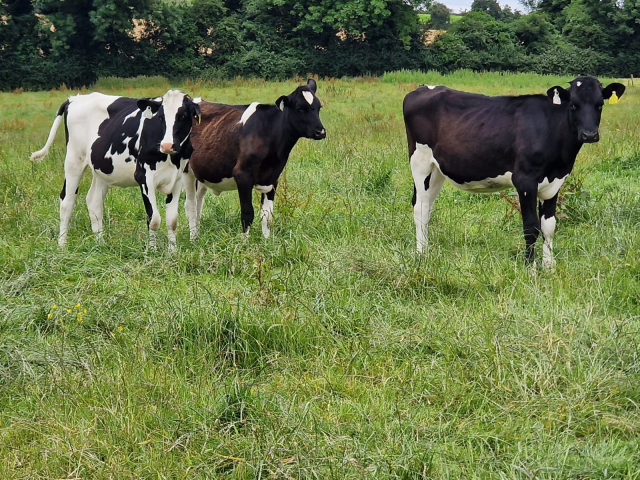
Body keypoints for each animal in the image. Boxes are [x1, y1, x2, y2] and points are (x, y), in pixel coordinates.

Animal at [31, 89, 200, 251]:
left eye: (183, 116)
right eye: (160, 117)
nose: (167, 145)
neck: (172, 158)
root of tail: (74, 98)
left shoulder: (177, 179)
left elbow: (172, 220)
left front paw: (173, 252)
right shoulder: (144, 177)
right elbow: (154, 219)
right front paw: (152, 251)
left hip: (101, 168)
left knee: (94, 201)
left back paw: (100, 244)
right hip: (74, 159)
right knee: (67, 202)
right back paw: (62, 245)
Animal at [184, 78, 324, 240]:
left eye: (319, 107)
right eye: (300, 108)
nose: (321, 132)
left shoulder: (272, 179)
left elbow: (267, 216)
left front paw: (267, 241)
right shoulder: (242, 175)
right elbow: (247, 214)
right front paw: (245, 243)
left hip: (201, 174)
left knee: (198, 203)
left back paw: (197, 235)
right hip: (185, 171)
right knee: (190, 205)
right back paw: (193, 239)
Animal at [404, 77, 624, 268]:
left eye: (600, 104)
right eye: (573, 105)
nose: (589, 135)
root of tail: (422, 88)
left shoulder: (556, 182)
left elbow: (549, 226)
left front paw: (549, 267)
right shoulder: (525, 180)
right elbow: (531, 226)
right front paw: (530, 267)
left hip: (437, 171)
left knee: (427, 207)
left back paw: (427, 248)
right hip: (420, 162)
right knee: (420, 208)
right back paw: (422, 254)